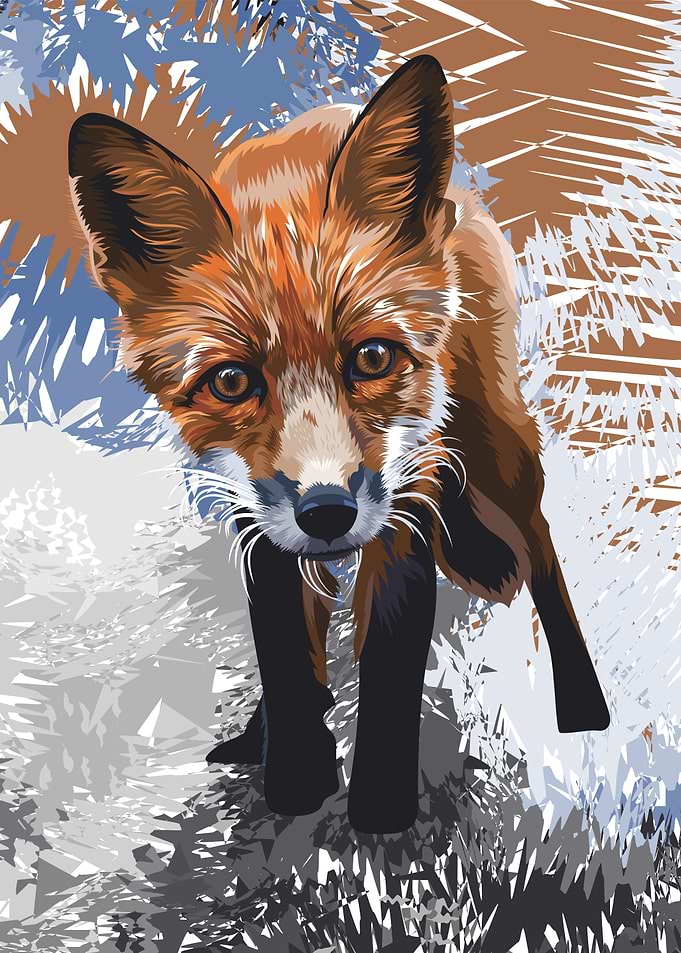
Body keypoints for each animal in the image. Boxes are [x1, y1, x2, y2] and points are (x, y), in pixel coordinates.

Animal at [66, 55, 610, 834]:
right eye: (231, 381)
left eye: (372, 359)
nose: (327, 513)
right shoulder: (256, 515)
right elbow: (285, 655)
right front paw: (293, 776)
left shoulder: (405, 504)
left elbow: (388, 665)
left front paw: (379, 813)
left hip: (497, 454)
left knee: (540, 549)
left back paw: (585, 705)